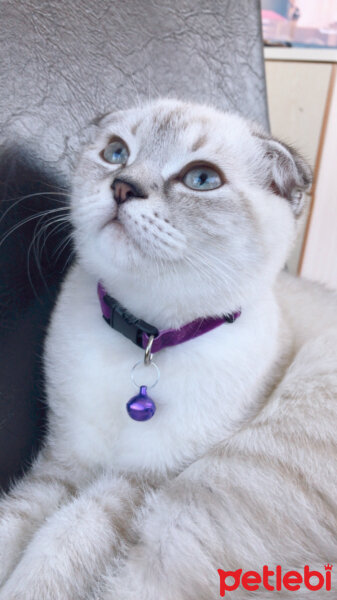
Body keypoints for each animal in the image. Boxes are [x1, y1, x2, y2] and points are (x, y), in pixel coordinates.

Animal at [0, 98, 336, 600]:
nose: (123, 185)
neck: (145, 336)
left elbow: (58, 550)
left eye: (201, 179)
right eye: (116, 153)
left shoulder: (136, 483)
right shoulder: (63, 465)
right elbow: (16, 520)